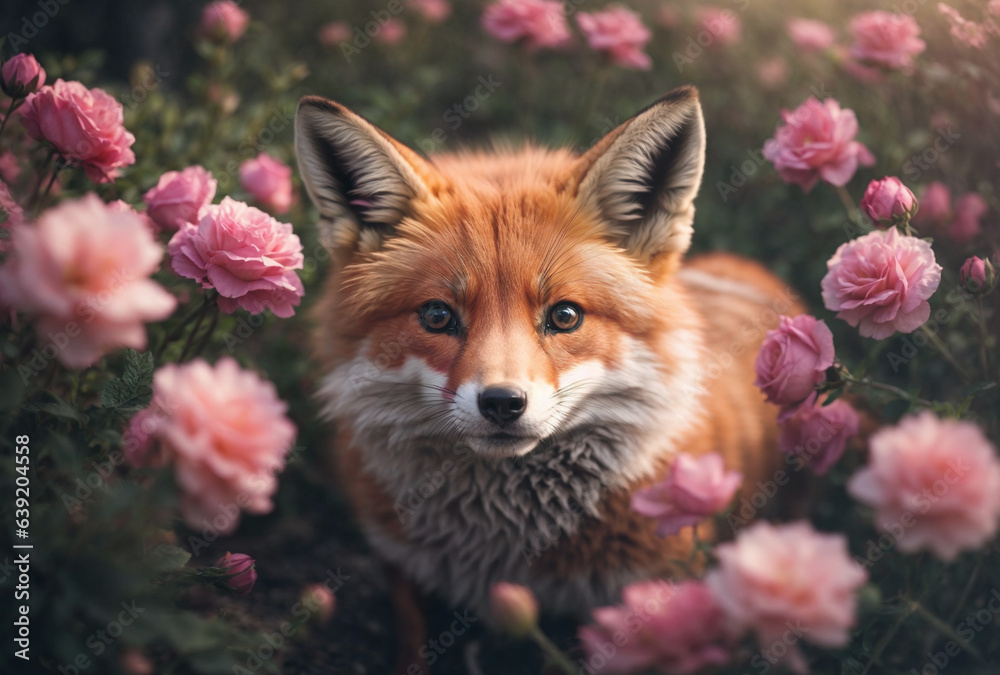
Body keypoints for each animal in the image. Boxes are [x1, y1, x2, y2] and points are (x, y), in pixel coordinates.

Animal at [295, 85, 801, 667]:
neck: (507, 547)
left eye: (565, 316)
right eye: (438, 316)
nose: (502, 403)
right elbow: (412, 648)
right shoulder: (401, 567)